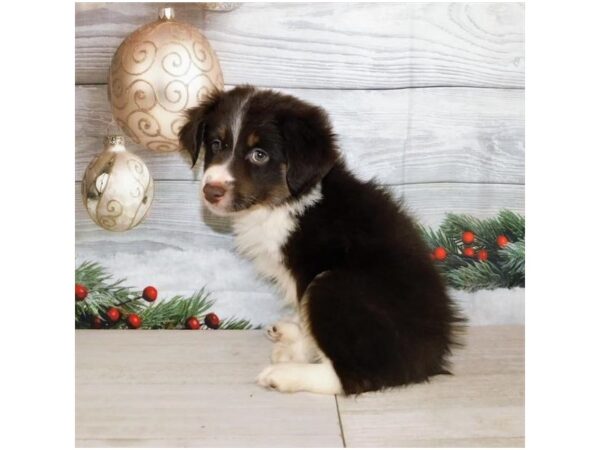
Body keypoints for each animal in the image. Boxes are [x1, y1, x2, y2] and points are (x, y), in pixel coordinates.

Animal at [178, 86, 464, 396]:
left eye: (259, 155)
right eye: (216, 144)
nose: (211, 191)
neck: (286, 201)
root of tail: (432, 357)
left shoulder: (309, 267)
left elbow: (307, 319)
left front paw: (297, 352)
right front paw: (295, 337)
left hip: (332, 286)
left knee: (356, 375)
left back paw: (285, 375)